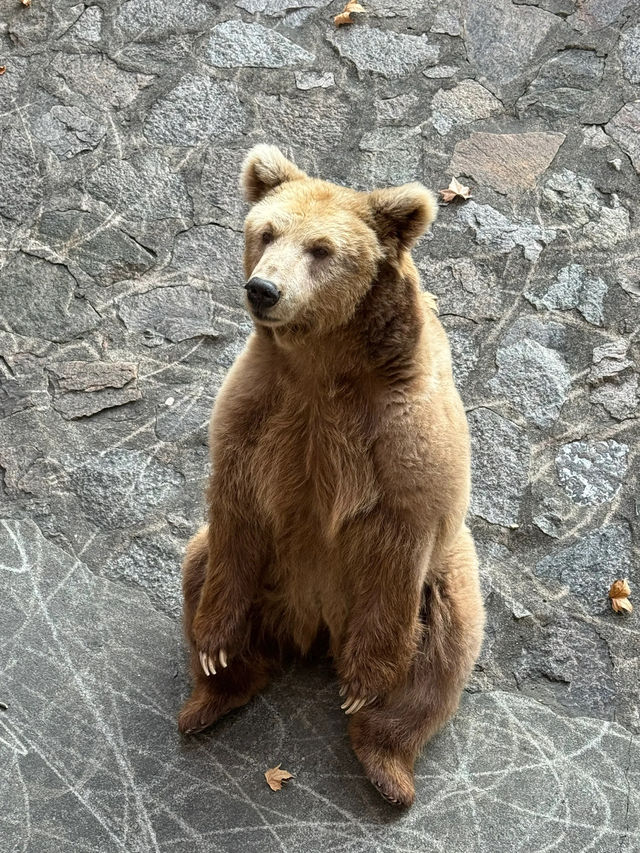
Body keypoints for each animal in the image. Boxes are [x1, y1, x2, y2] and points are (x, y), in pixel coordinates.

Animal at [178, 145, 482, 804]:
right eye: (266, 232)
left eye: (321, 249)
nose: (264, 288)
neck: (323, 362)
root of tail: (314, 630)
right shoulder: (260, 411)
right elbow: (235, 509)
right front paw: (215, 649)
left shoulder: (400, 434)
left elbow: (401, 531)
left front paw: (364, 686)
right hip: (265, 579)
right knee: (200, 565)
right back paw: (208, 697)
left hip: (441, 581)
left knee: (444, 653)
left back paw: (387, 764)